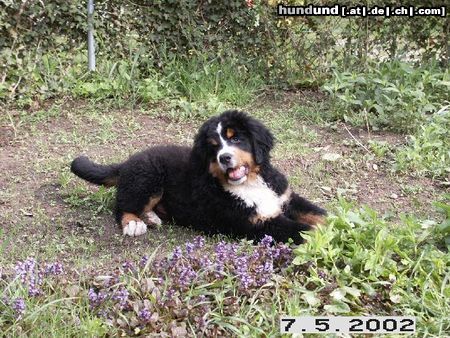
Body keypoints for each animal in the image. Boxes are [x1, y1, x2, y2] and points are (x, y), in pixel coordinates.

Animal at [70, 110, 326, 243]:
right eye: (214, 147)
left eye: (235, 138)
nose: (224, 158)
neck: (251, 183)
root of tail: (128, 161)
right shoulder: (254, 223)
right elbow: (301, 229)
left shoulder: (285, 197)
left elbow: (317, 214)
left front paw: (333, 221)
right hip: (148, 177)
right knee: (123, 205)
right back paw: (135, 223)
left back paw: (151, 217)